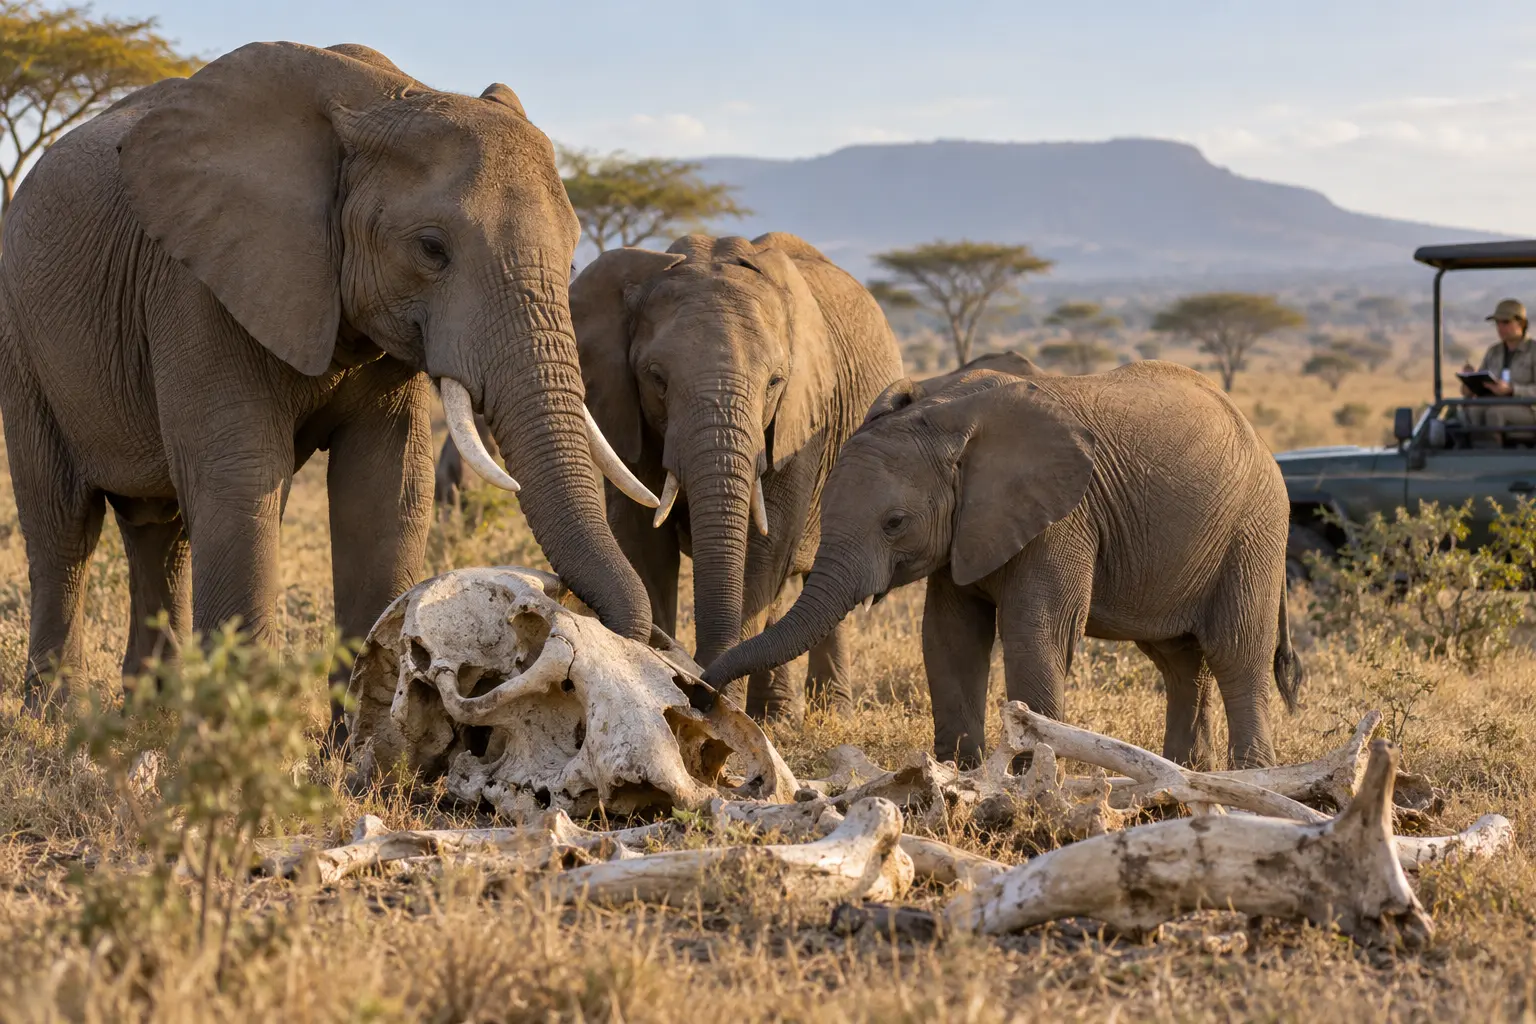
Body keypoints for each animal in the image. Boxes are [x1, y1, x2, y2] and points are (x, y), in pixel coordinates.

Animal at [0, 41, 659, 722]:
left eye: (574, 257)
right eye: (431, 249)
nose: (561, 611)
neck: (379, 101)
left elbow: (385, 489)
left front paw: (364, 739)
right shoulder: (198, 287)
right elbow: (241, 480)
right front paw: (252, 734)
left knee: (162, 532)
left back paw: (149, 716)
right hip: (23, 341)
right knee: (64, 528)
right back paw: (54, 717)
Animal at [571, 233, 904, 720]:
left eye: (775, 382)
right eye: (657, 378)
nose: (699, 688)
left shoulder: (801, 419)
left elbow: (763, 546)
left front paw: (723, 714)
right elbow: (643, 541)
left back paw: (824, 713)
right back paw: (778, 715)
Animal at [704, 358, 1303, 768]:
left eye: (894, 523)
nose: (702, 693)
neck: (947, 416)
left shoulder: (1062, 518)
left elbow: (1034, 631)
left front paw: (1029, 773)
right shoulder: (965, 528)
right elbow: (949, 634)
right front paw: (955, 771)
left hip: (1253, 530)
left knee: (1235, 654)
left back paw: (1248, 776)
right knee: (1179, 660)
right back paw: (1185, 771)